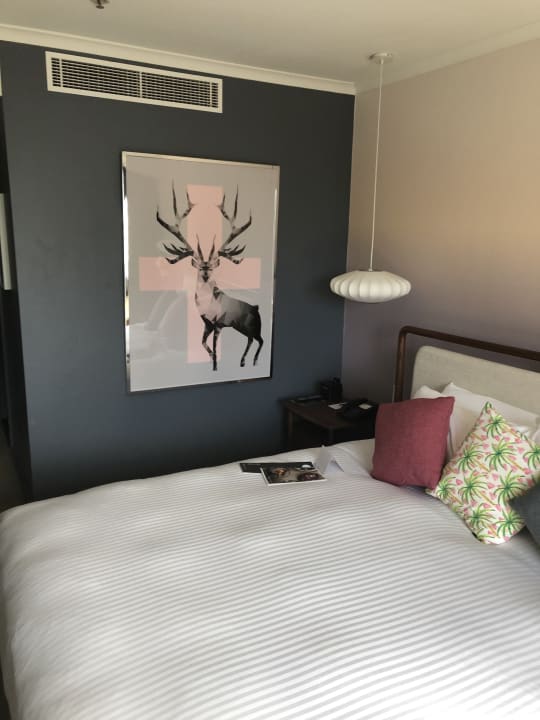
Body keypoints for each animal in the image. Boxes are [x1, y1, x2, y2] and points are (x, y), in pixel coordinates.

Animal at [156, 185, 264, 372]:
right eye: (200, 268)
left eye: (211, 268)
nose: (206, 274)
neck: (208, 306)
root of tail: (256, 308)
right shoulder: (207, 324)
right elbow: (203, 343)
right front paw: (211, 357)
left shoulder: (218, 324)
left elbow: (212, 346)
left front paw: (214, 365)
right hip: (242, 327)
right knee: (252, 340)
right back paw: (244, 361)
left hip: (251, 326)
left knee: (260, 340)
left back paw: (252, 360)